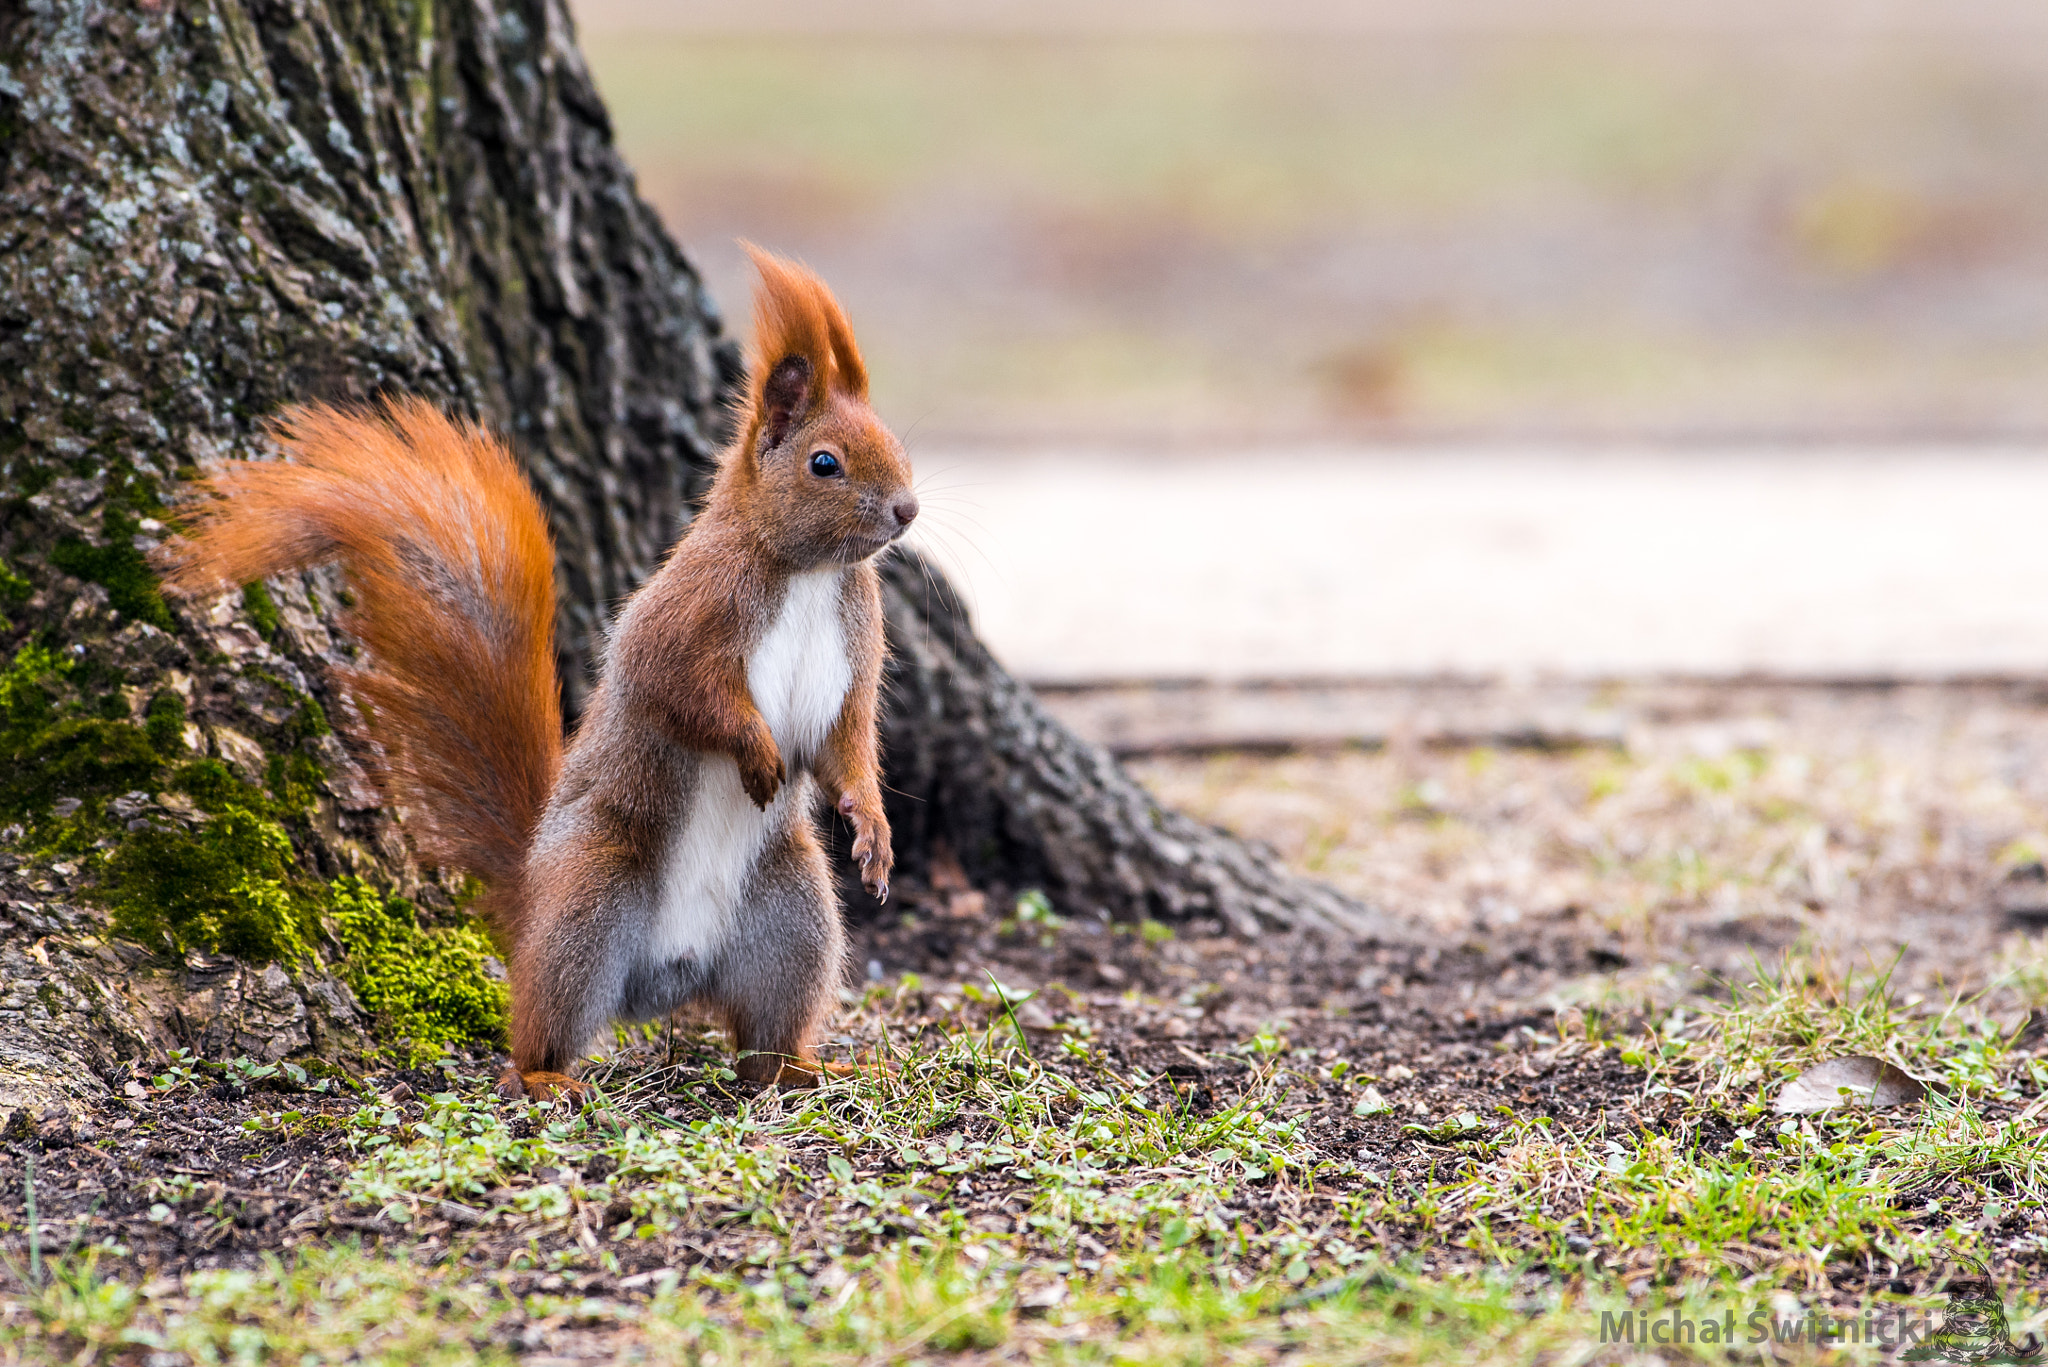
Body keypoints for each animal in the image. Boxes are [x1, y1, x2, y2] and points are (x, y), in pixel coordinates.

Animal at [163, 245, 917, 1098]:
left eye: (892, 442)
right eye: (825, 463)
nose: (907, 509)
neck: (809, 572)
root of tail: (672, 977)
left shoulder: (855, 654)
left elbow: (847, 742)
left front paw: (872, 829)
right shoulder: (684, 617)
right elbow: (683, 693)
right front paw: (756, 752)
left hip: (791, 918)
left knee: (765, 1037)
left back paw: (806, 1067)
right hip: (588, 901)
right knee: (542, 1025)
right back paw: (550, 1077)